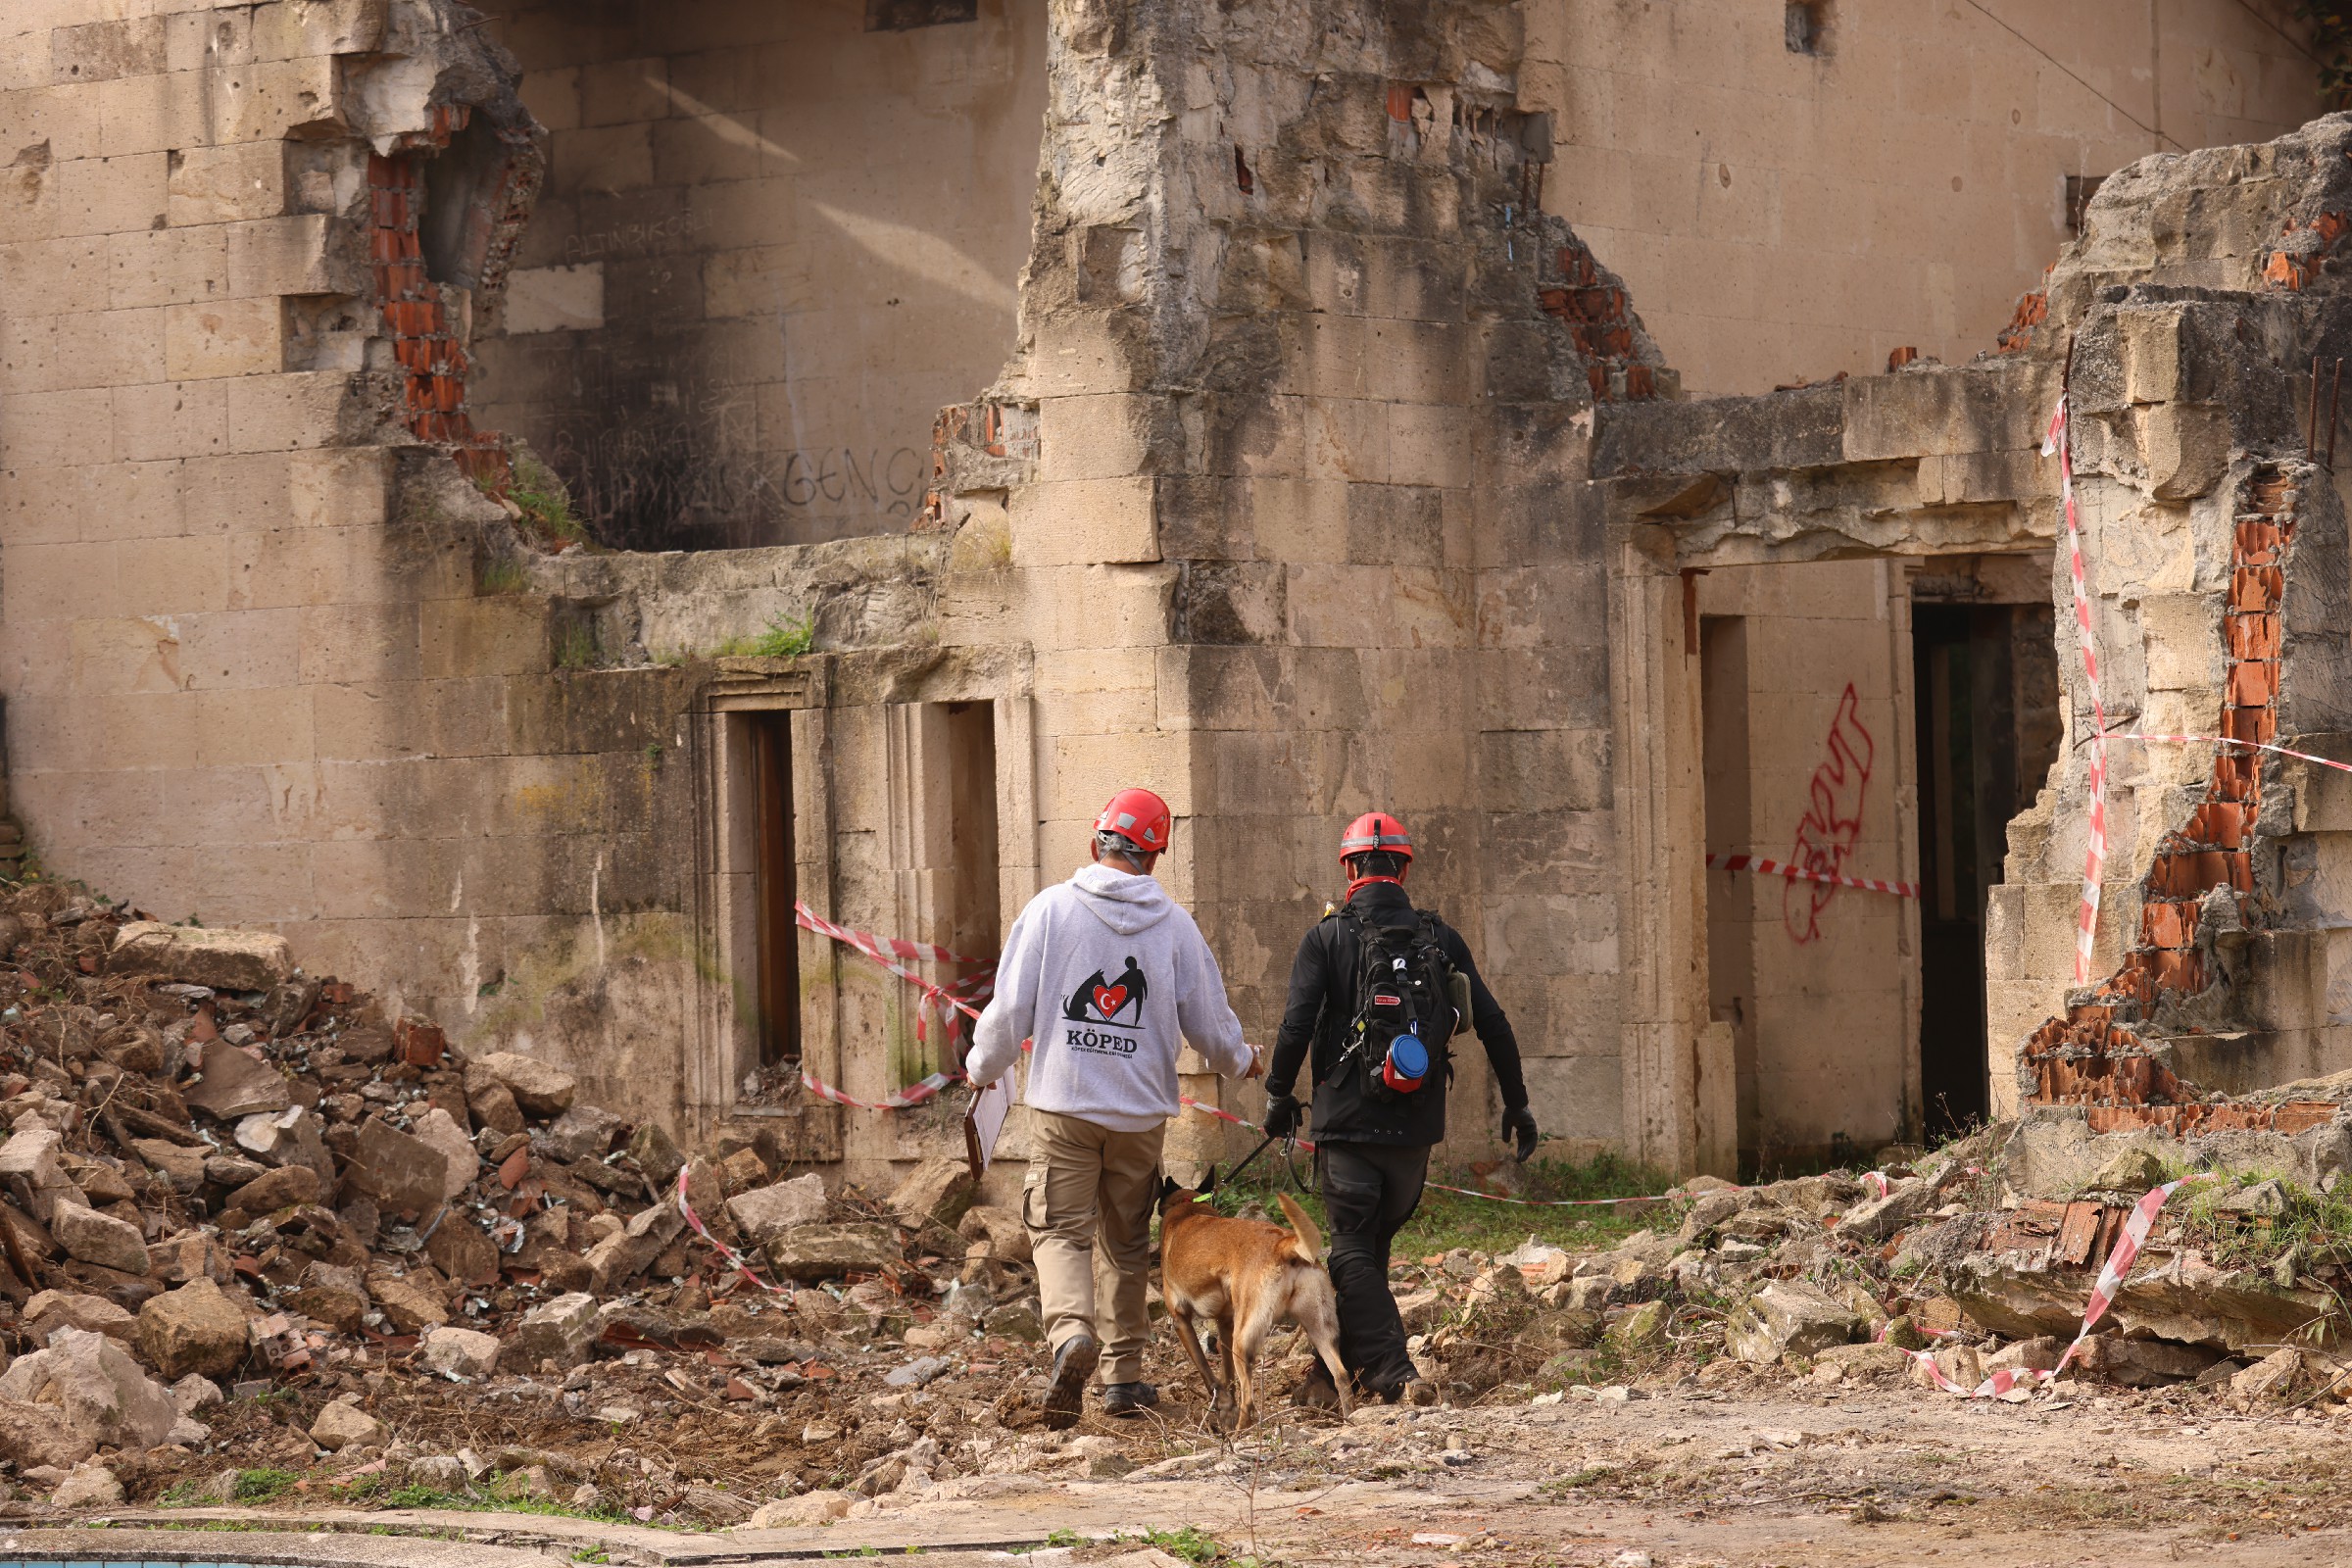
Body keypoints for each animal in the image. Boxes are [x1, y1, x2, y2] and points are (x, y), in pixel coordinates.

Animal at [1152, 1170, 1354, 1429]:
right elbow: (1227, 1374)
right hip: (1319, 1329)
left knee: (1248, 1400)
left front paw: (1223, 1405)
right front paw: (1226, 1407)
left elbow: (1206, 1371)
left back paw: (1239, 1433)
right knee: (1341, 1375)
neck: (1187, 1205)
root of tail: (1283, 1244)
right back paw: (1351, 1418)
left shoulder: (1181, 1320)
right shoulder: (1225, 1323)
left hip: (1244, 1339)